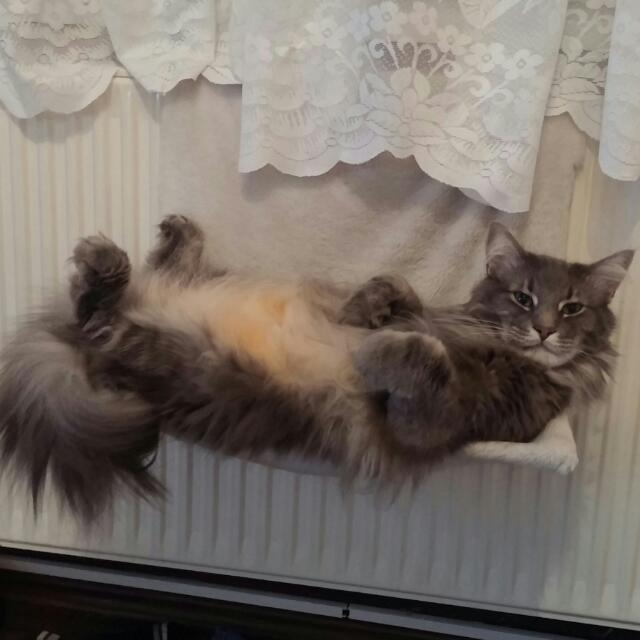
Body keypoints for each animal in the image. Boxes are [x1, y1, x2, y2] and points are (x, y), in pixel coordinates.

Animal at [0, 215, 633, 522]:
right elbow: (397, 290)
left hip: (175, 357)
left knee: (99, 317)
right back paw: (160, 239)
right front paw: (365, 309)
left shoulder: (439, 422)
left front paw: (373, 344)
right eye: (523, 298)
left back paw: (107, 265)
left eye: (572, 308)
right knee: (141, 281)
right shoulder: (431, 311)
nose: (545, 329)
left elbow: (420, 355)